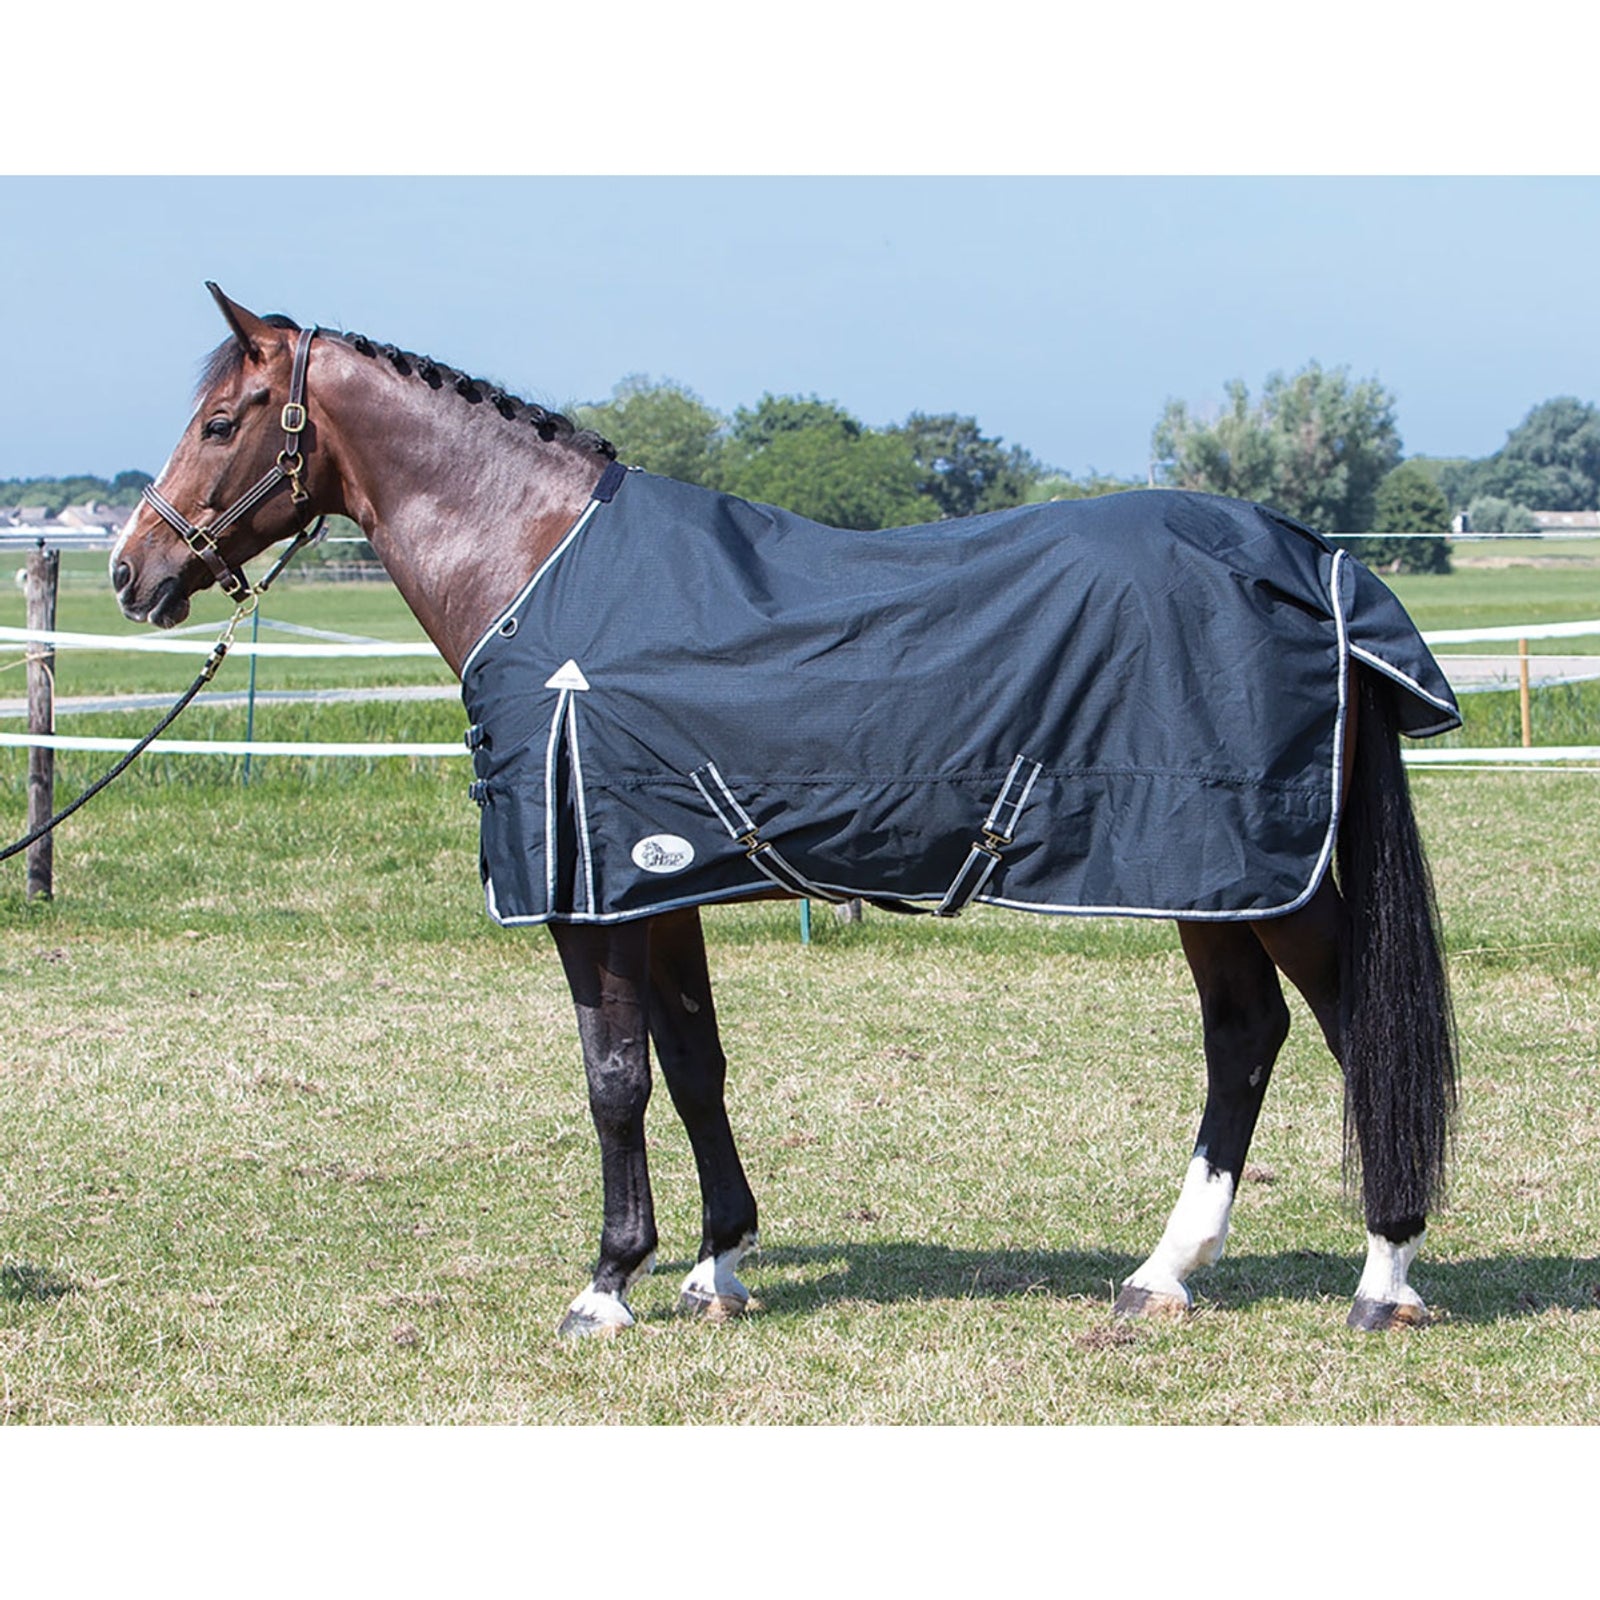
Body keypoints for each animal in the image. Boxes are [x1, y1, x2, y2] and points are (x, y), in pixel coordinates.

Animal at [110, 284, 1460, 1337]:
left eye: (222, 421)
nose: (135, 570)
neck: (541, 567)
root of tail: (1313, 560)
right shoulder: (660, 884)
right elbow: (694, 1065)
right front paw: (718, 1264)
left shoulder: (588, 897)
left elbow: (614, 1078)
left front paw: (607, 1283)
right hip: (1207, 880)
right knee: (1246, 1038)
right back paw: (1162, 1274)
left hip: (1247, 869)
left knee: (1346, 1025)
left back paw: (1383, 1273)